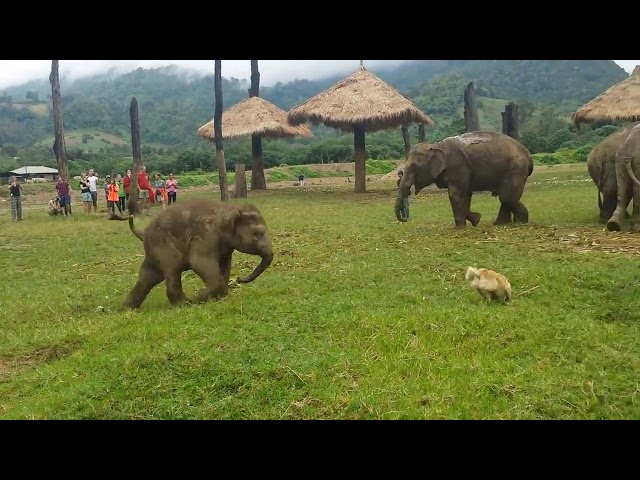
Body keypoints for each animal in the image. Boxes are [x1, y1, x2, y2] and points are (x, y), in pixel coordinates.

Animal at [124, 198, 274, 308]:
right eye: (256, 234)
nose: (239, 279)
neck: (228, 208)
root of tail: (143, 232)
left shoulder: (224, 247)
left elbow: (225, 265)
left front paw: (221, 296)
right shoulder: (206, 235)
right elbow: (199, 262)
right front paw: (202, 296)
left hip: (153, 250)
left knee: (148, 277)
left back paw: (128, 308)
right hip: (162, 245)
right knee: (172, 270)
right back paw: (185, 303)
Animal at [396, 130, 536, 228]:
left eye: (414, 167)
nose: (405, 218)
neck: (437, 145)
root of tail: (529, 157)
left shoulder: (458, 166)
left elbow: (456, 194)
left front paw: (462, 226)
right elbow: (466, 194)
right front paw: (476, 219)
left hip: (516, 170)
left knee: (506, 197)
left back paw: (521, 222)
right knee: (506, 198)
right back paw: (502, 224)